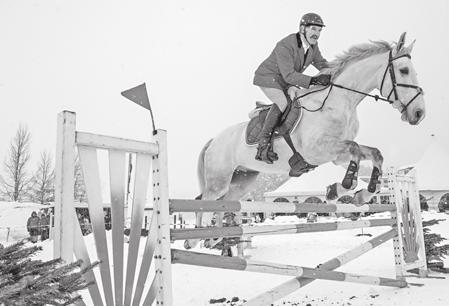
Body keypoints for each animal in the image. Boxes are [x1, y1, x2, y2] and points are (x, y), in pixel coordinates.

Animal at [185, 32, 424, 250]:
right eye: (404, 70)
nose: (419, 113)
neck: (339, 101)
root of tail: (214, 140)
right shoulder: (317, 150)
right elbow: (355, 151)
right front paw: (339, 189)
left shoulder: (337, 155)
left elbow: (374, 153)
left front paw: (362, 194)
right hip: (219, 178)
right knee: (204, 200)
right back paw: (195, 238)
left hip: (242, 180)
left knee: (222, 202)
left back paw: (213, 237)